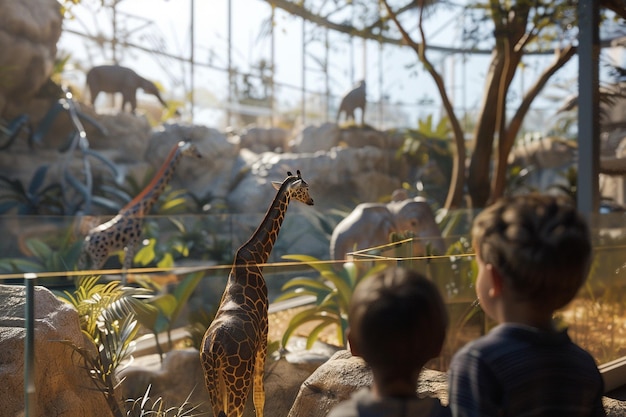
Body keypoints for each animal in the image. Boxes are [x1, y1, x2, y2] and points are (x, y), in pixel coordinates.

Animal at [77, 140, 201, 280]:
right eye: (193, 149)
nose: (200, 155)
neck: (142, 209)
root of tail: (86, 242)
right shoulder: (132, 244)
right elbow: (125, 275)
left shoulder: (126, 248)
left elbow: (124, 274)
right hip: (100, 256)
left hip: (88, 257)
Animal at [202, 168, 314, 416]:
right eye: (306, 187)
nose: (312, 201)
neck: (255, 259)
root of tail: (214, 349)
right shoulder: (265, 328)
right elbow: (260, 394)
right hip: (238, 376)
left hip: (211, 377)